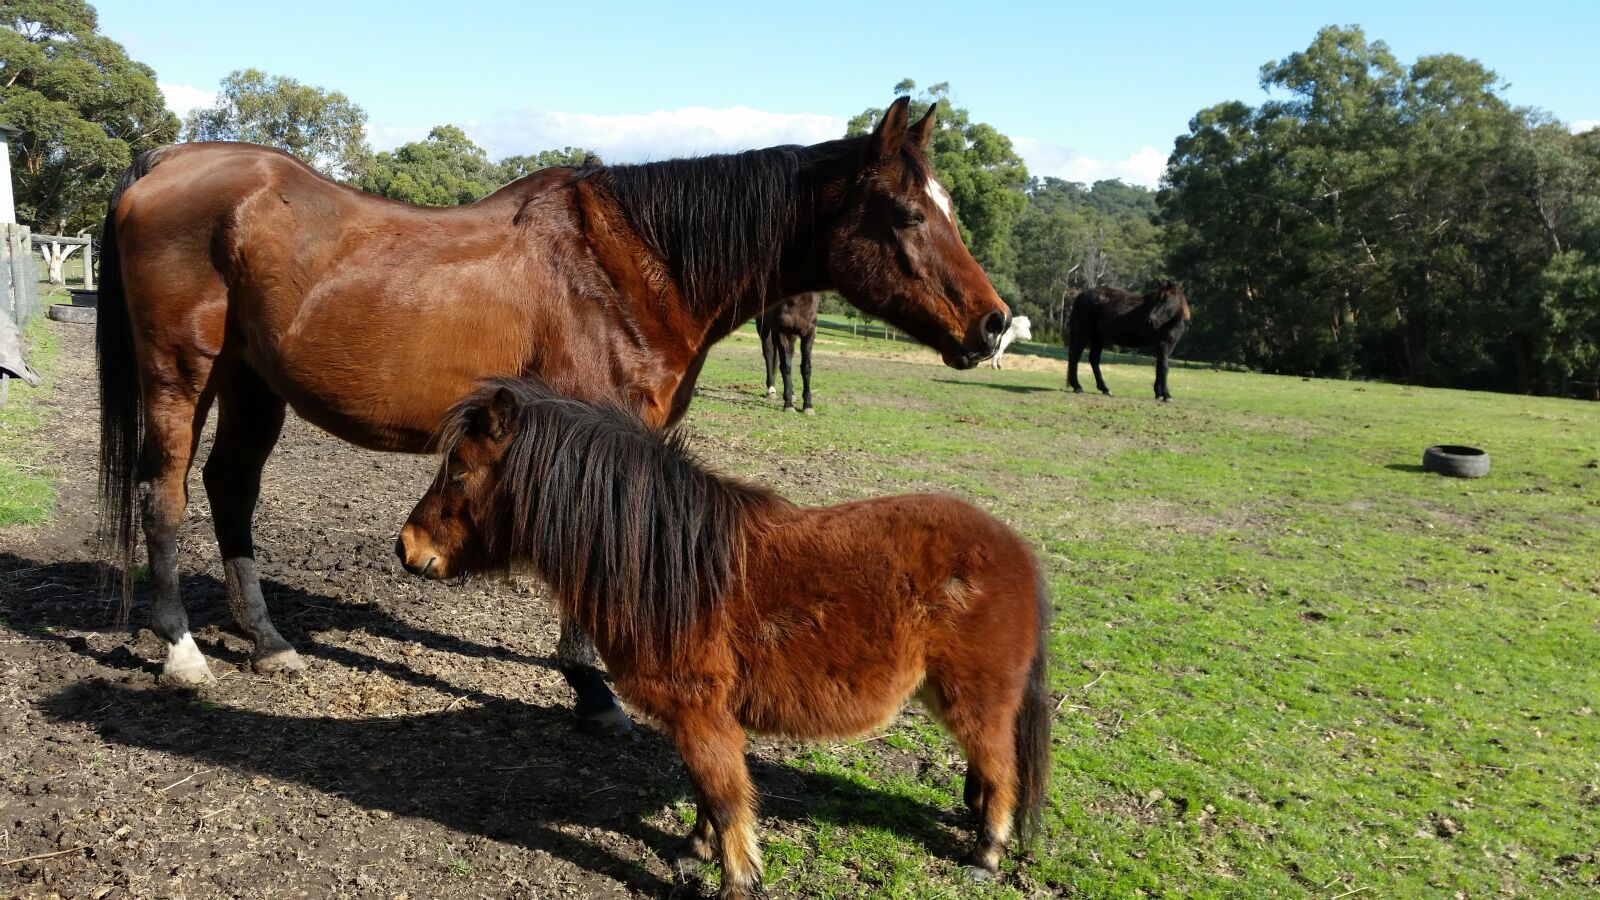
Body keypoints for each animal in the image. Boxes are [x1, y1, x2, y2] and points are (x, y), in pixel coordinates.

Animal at [95, 95, 1011, 731]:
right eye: (908, 213)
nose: (994, 324)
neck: (630, 266)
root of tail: (164, 163)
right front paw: (591, 687)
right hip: (183, 375)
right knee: (165, 496)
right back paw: (182, 652)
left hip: (254, 384)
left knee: (231, 491)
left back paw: (270, 642)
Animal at [396, 378, 1051, 898]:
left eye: (459, 470)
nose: (407, 548)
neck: (667, 567)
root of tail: (1017, 551)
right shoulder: (698, 720)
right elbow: (705, 793)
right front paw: (695, 849)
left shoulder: (702, 715)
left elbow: (726, 797)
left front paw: (736, 881)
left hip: (976, 700)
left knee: (1001, 768)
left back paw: (986, 855)